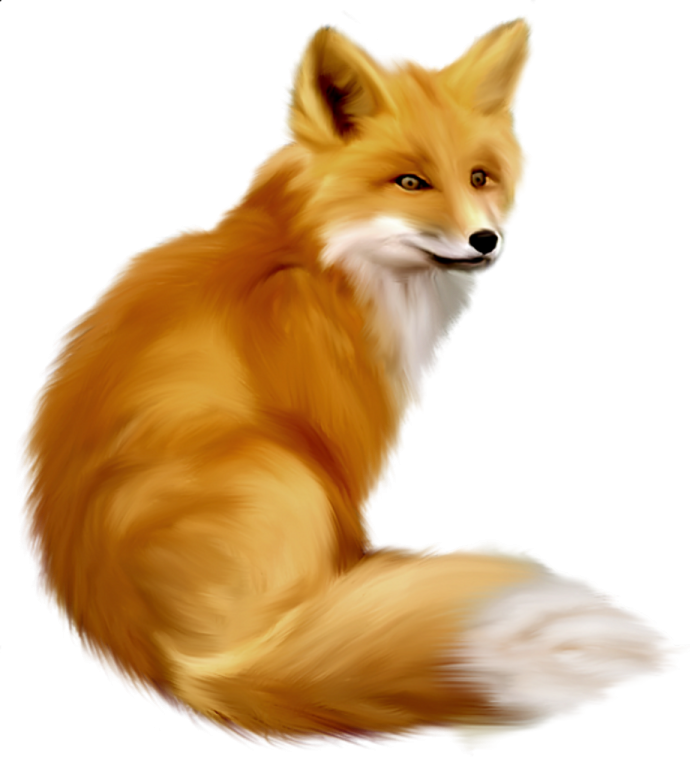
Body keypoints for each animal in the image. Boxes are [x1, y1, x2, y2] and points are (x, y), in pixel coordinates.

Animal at [17, 16, 686, 752]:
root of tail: (174, 671)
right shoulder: (343, 437)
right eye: (410, 181)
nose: (485, 240)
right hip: (286, 473)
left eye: (480, 177)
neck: (322, 258)